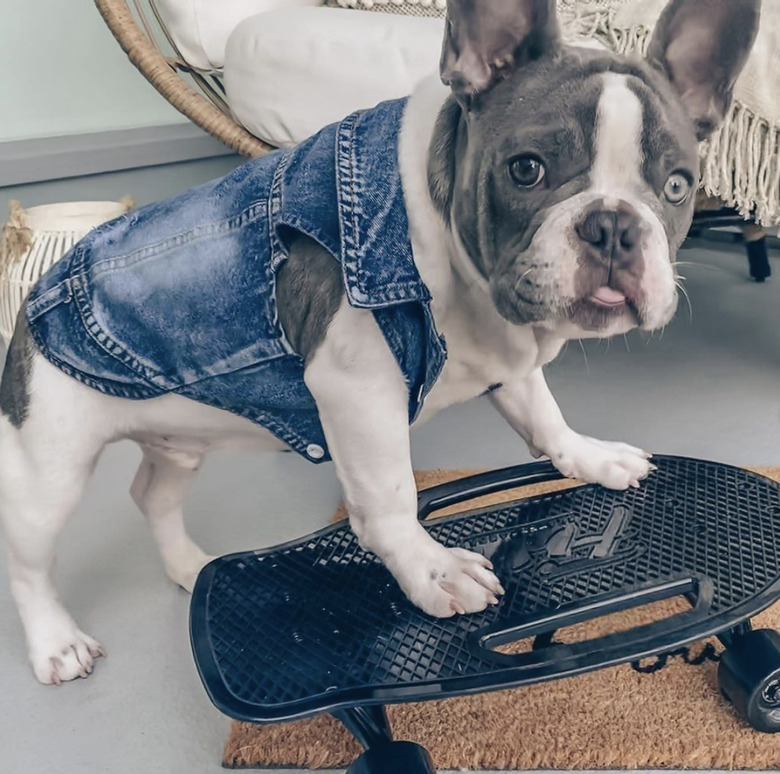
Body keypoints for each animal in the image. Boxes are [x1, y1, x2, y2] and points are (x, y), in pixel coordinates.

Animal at [0, 0, 760, 688]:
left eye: (677, 185)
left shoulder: (508, 355)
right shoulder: (359, 388)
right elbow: (390, 494)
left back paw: (188, 565)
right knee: (30, 558)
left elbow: (545, 417)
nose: (613, 226)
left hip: (179, 438)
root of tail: (39, 296)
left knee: (151, 493)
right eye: (527, 170)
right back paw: (56, 644)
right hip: (51, 466)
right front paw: (431, 568)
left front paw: (591, 457)